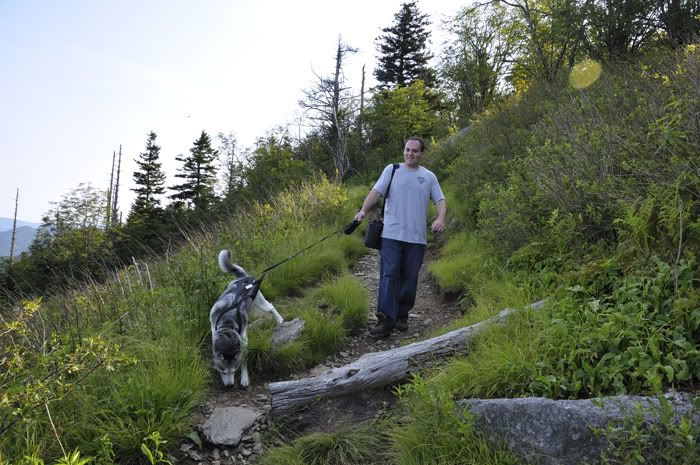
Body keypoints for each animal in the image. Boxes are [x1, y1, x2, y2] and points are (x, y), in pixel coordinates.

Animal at [211, 248, 284, 386]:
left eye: (234, 370)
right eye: (223, 371)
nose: (229, 386)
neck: (227, 324)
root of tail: (243, 277)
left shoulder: (243, 341)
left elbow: (244, 359)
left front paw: (244, 378)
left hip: (260, 302)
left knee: (271, 307)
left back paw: (279, 319)